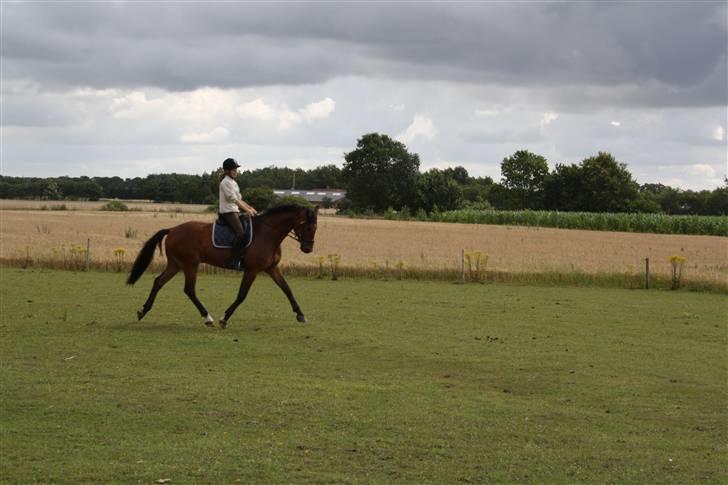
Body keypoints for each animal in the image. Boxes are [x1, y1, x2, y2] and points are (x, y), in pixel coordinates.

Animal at [126, 202, 318, 328]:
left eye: (315, 228)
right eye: (308, 227)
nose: (308, 248)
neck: (268, 233)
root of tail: (172, 230)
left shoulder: (272, 268)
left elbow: (287, 289)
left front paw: (300, 315)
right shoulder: (252, 270)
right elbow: (242, 295)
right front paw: (224, 318)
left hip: (176, 264)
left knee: (159, 281)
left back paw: (143, 310)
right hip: (190, 265)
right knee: (189, 290)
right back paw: (207, 318)